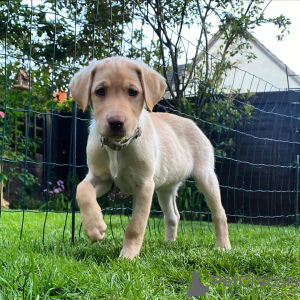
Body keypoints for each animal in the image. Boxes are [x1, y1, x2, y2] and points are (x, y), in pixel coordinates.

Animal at [69, 56, 231, 260]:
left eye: (132, 92)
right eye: (100, 91)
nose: (116, 122)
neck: (119, 146)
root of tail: (193, 124)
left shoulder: (144, 184)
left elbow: (135, 226)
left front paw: (128, 257)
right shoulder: (100, 177)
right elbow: (81, 190)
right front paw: (94, 227)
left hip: (206, 177)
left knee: (220, 213)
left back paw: (223, 246)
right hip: (165, 187)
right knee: (173, 215)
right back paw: (169, 244)